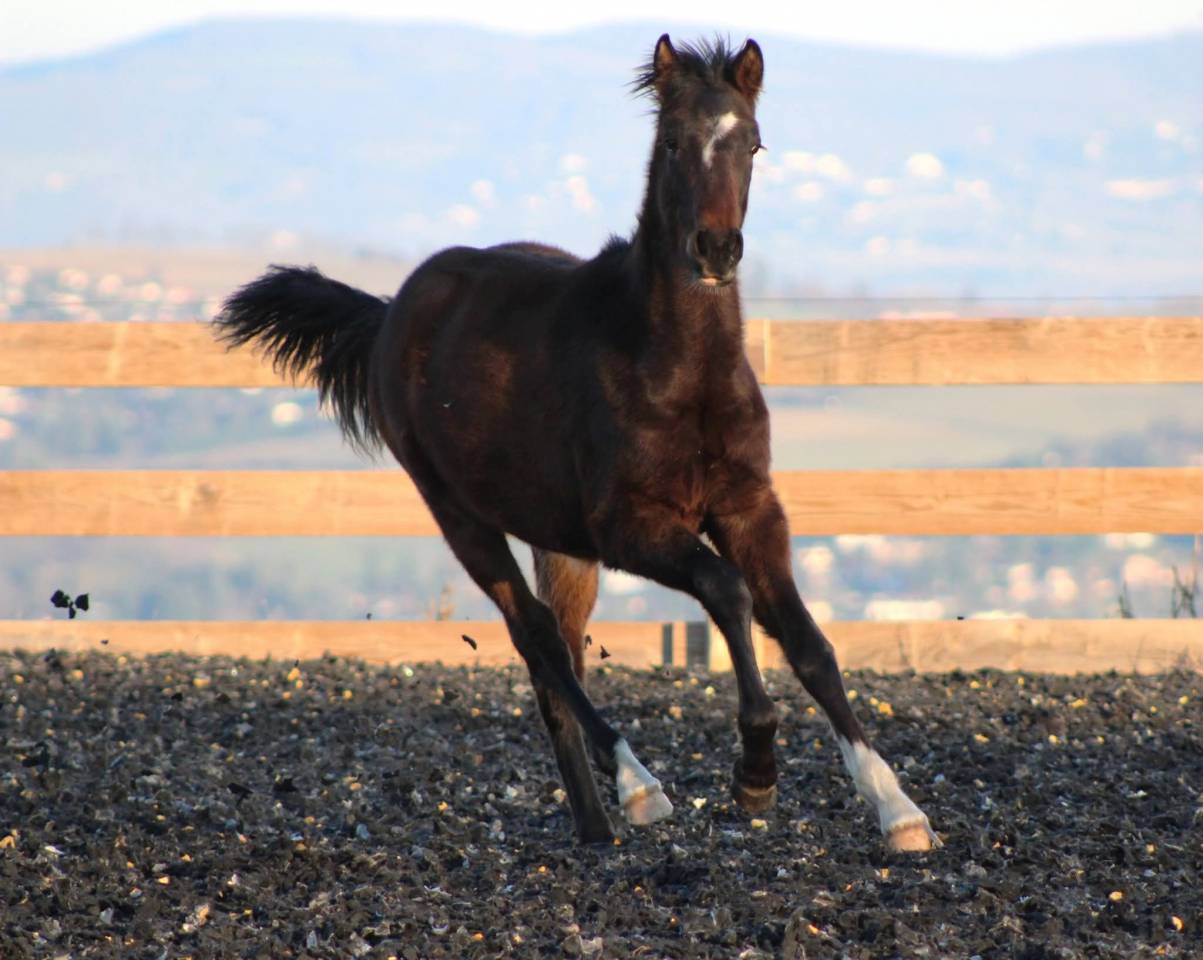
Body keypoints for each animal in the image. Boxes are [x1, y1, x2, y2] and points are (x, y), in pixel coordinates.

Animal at [215, 35, 937, 852]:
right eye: (673, 141)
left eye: (752, 142)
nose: (716, 250)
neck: (675, 368)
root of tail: (393, 310)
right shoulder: (627, 525)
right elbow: (728, 590)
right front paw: (755, 772)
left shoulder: (750, 508)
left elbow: (809, 643)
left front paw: (897, 808)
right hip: (459, 512)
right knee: (536, 636)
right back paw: (637, 788)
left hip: (556, 540)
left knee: (557, 650)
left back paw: (596, 825)